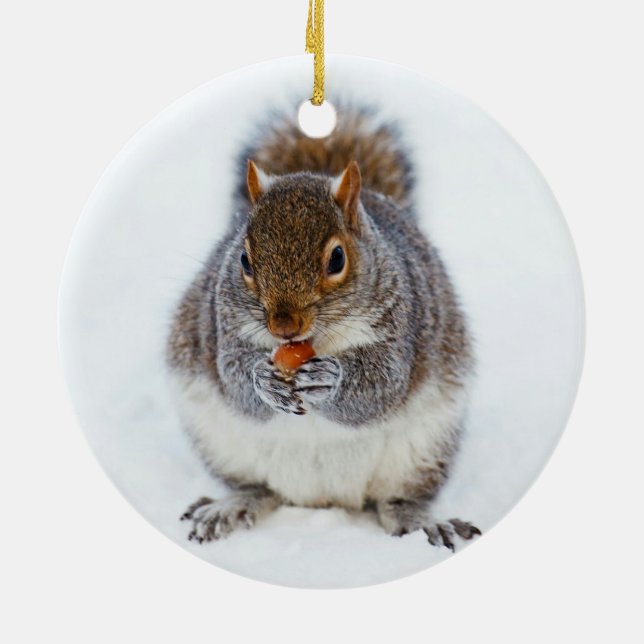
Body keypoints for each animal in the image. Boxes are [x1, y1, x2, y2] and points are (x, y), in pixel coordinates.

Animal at [167, 108, 481, 550]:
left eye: (337, 259)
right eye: (244, 260)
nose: (283, 326)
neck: (313, 342)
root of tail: (323, 498)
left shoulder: (402, 326)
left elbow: (382, 387)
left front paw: (330, 381)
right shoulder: (222, 326)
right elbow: (234, 379)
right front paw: (263, 379)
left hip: (424, 449)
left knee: (398, 500)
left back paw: (422, 522)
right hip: (220, 442)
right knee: (258, 488)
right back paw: (230, 506)